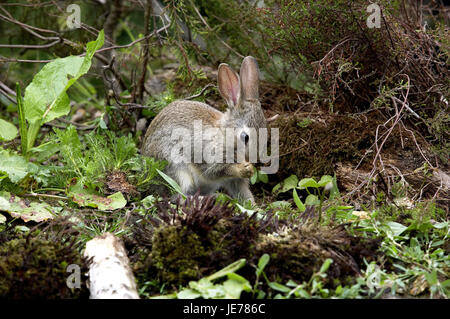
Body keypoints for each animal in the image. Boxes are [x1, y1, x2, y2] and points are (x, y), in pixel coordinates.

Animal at [142, 56, 268, 204]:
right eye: (245, 137)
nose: (256, 161)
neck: (224, 135)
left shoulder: (235, 182)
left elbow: (243, 193)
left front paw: (253, 206)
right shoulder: (208, 157)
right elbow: (214, 172)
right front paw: (244, 169)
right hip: (175, 166)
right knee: (178, 196)